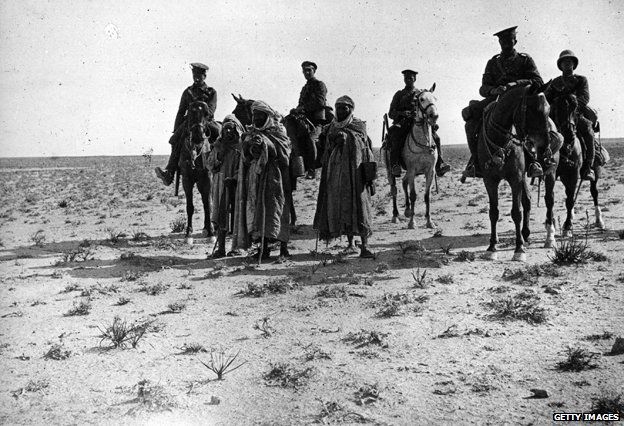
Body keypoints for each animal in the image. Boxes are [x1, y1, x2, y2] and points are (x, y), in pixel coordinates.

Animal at [178, 100, 219, 245]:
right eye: (190, 112)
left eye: (206, 114)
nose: (197, 135)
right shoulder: (187, 180)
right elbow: (190, 207)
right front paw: (188, 234)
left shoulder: (208, 179)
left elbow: (208, 205)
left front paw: (212, 234)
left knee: (207, 200)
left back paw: (209, 228)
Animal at [380, 83, 438, 230]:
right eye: (421, 99)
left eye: (435, 98)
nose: (434, 116)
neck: (422, 143)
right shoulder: (412, 170)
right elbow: (413, 196)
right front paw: (412, 222)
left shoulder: (430, 171)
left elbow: (427, 196)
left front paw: (429, 221)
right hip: (390, 170)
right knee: (394, 189)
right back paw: (396, 216)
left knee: (404, 182)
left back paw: (407, 211)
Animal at [478, 83, 552, 262]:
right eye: (534, 110)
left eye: (549, 110)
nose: (545, 148)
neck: (500, 140)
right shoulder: (489, 180)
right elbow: (493, 212)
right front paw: (492, 247)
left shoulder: (515, 178)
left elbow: (516, 212)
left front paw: (519, 249)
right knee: (527, 200)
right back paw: (524, 235)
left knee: (535, 201)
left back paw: (532, 237)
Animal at [552, 93, 604, 240]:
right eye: (557, 107)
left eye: (575, 108)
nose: (569, 134)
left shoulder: (573, 175)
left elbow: (569, 200)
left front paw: (567, 227)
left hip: (595, 172)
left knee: (594, 192)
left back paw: (599, 221)